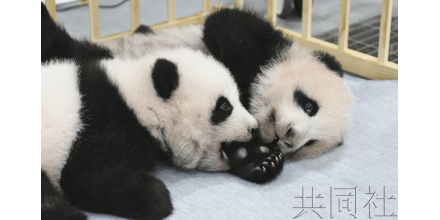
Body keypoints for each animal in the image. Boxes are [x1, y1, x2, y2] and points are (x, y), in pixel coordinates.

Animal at [42, 3, 286, 220]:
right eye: (225, 106)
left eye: (239, 99)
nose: (253, 127)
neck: (135, 96)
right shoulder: (96, 125)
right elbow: (86, 178)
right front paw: (156, 197)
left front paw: (258, 159)